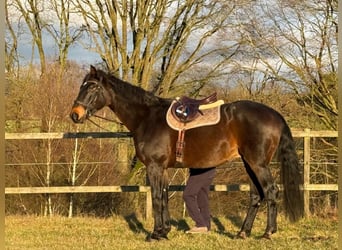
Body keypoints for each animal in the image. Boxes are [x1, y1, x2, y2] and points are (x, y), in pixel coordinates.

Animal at [70, 66, 304, 240]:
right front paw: (164, 231)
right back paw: (242, 233)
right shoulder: (162, 168)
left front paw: (155, 234)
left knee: (271, 191)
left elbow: (156, 196)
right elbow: (164, 195)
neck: (147, 117)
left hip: (258, 164)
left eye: (92, 87)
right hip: (249, 164)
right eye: (81, 86)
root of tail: (275, 115)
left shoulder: (154, 167)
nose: (75, 115)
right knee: (256, 194)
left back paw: (267, 233)